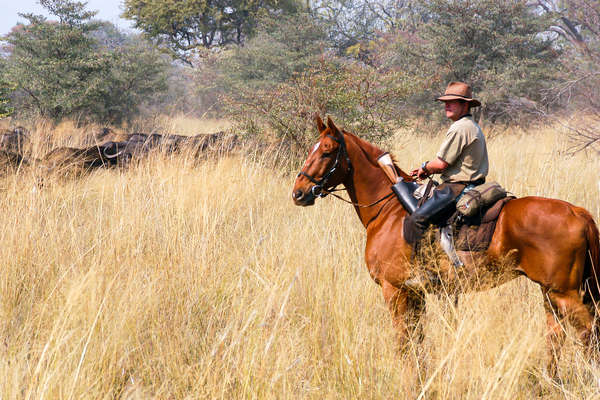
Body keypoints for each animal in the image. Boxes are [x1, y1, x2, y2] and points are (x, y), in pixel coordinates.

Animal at [292, 114, 600, 370]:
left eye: (327, 151)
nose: (299, 193)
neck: (388, 210)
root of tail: (579, 212)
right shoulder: (416, 294)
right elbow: (416, 341)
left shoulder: (395, 291)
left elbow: (403, 342)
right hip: (550, 294)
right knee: (556, 335)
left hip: (564, 294)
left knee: (588, 332)